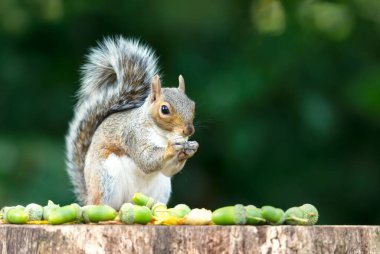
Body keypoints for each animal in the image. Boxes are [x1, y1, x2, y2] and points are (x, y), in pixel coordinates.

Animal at [64, 36, 199, 210]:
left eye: (193, 105)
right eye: (164, 109)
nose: (189, 131)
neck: (163, 135)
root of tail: (88, 197)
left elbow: (168, 170)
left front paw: (190, 149)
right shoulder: (132, 135)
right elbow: (145, 160)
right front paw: (172, 148)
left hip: (161, 188)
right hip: (105, 179)